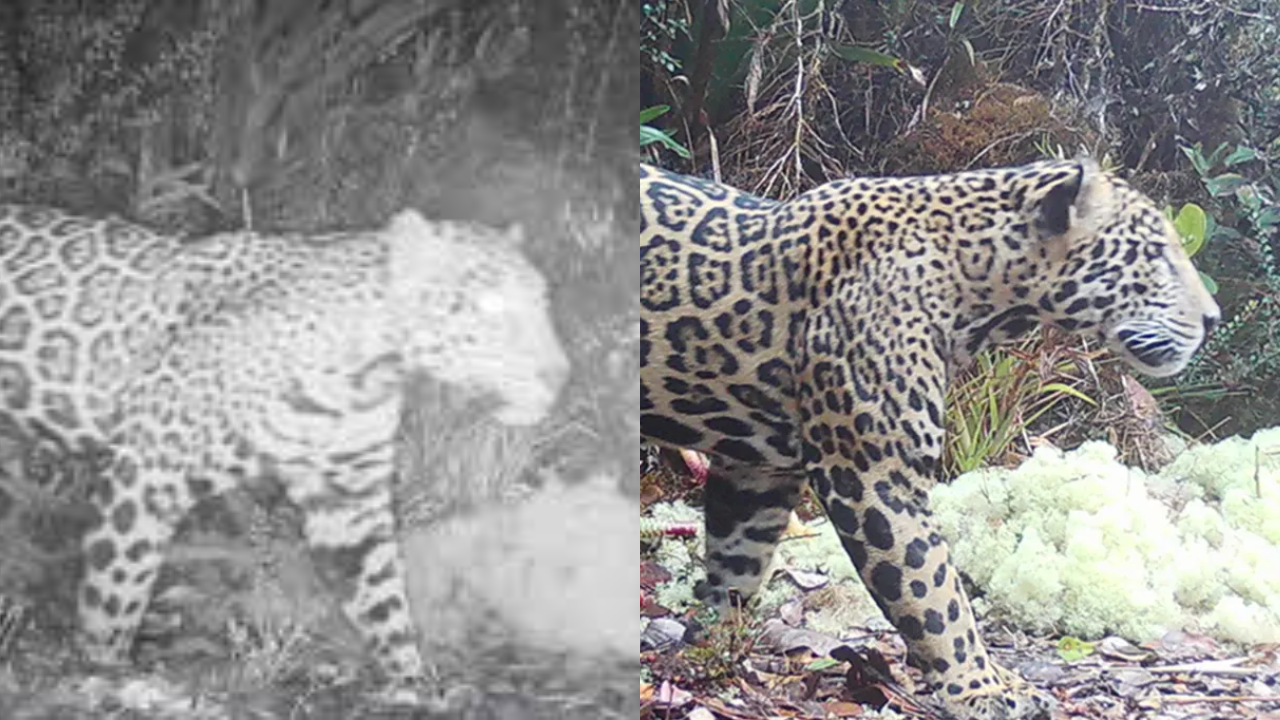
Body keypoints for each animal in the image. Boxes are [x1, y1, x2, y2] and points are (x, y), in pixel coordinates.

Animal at [0, 204, 570, 690]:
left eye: (543, 303)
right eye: (490, 309)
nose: (559, 373)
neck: (368, 371)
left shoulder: (349, 498)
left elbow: (382, 596)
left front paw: (412, 680)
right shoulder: (147, 472)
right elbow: (117, 589)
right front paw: (102, 667)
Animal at [639, 159, 1219, 719]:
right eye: (1155, 255)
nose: (1213, 320)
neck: (979, 286)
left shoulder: (758, 470)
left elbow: (739, 560)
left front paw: (713, 644)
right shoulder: (874, 474)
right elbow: (936, 594)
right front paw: (983, 688)